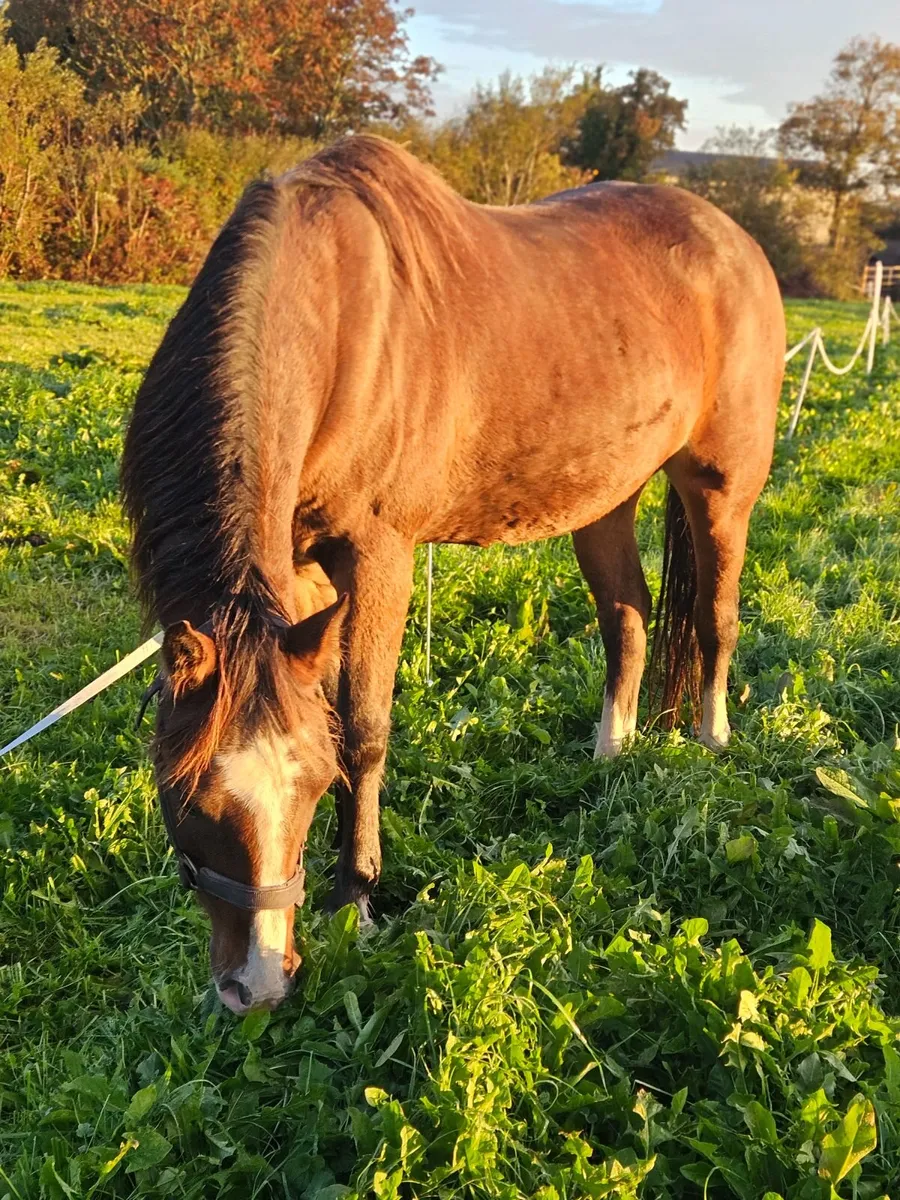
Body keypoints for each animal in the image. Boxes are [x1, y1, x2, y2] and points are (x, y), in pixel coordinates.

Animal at [121, 135, 785, 1014]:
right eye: (190, 797)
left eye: (310, 788)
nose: (259, 985)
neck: (331, 317)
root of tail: (736, 243)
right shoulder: (299, 576)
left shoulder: (379, 556)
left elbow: (364, 728)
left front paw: (357, 900)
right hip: (607, 498)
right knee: (628, 618)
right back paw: (610, 755)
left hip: (721, 491)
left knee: (714, 617)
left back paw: (711, 744)